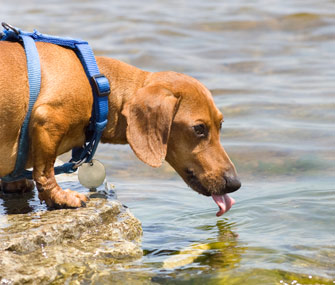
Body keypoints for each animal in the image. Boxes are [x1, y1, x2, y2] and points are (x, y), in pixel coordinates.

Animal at [0, 41, 242, 215]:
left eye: (221, 125)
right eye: (199, 128)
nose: (235, 183)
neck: (97, 86)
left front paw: (15, 182)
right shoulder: (48, 119)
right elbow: (44, 171)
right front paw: (60, 198)